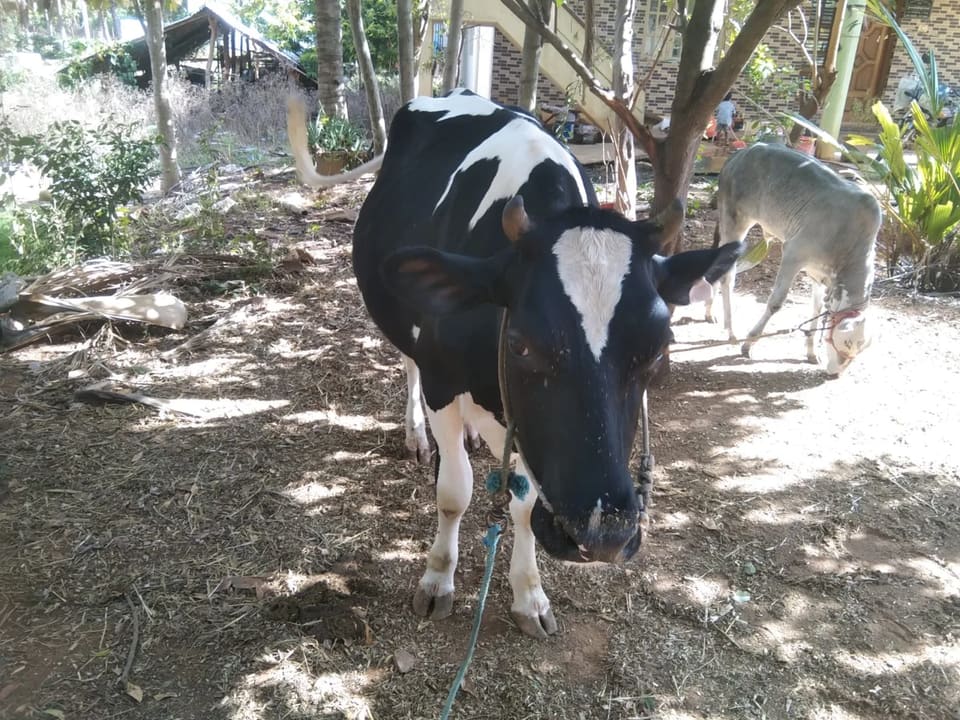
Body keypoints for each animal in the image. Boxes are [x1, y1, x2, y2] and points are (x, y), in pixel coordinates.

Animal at [288, 89, 742, 638]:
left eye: (658, 348)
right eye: (521, 344)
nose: (603, 533)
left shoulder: (532, 431)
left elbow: (524, 508)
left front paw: (529, 595)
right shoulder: (442, 381)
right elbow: (454, 491)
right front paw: (437, 580)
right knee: (408, 365)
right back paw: (417, 436)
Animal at [704, 142, 881, 376]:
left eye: (859, 350)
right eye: (847, 342)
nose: (835, 373)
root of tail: (741, 153)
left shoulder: (819, 275)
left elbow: (817, 309)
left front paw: (812, 352)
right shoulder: (793, 254)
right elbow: (776, 303)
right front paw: (749, 343)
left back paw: (709, 311)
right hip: (735, 219)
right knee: (728, 275)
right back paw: (732, 332)